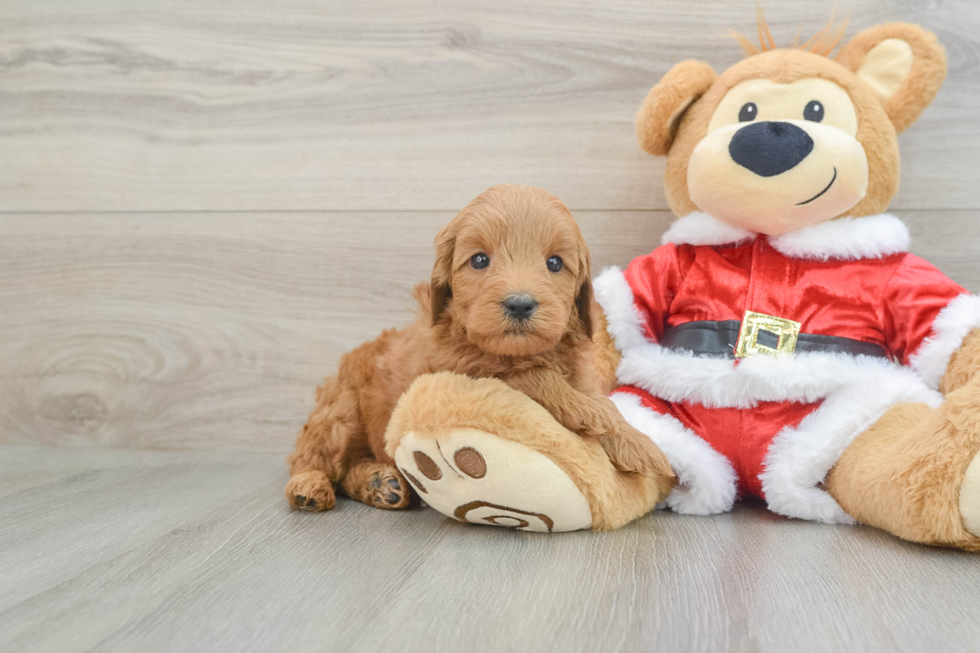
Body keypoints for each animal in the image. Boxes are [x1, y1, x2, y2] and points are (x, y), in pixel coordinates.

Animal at [286, 182, 672, 510]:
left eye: (554, 263)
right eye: (480, 260)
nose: (520, 304)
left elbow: (602, 402)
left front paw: (633, 439)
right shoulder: (463, 370)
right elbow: (538, 379)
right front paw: (605, 423)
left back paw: (382, 484)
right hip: (341, 410)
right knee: (315, 458)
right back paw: (309, 486)